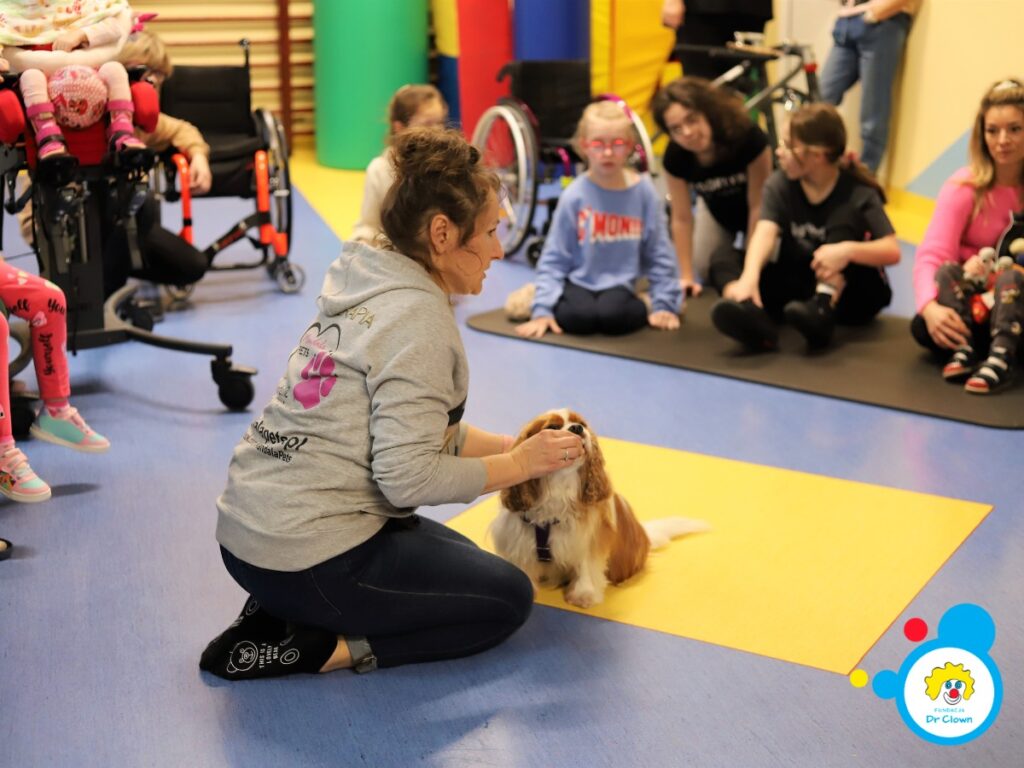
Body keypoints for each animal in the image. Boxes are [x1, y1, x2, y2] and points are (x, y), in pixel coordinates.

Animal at [490, 408, 709, 608]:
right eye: (553, 427)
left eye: (582, 424)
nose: (577, 429)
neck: (560, 485)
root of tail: (645, 536)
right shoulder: (518, 536)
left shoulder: (591, 536)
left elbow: (586, 563)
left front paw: (583, 595)